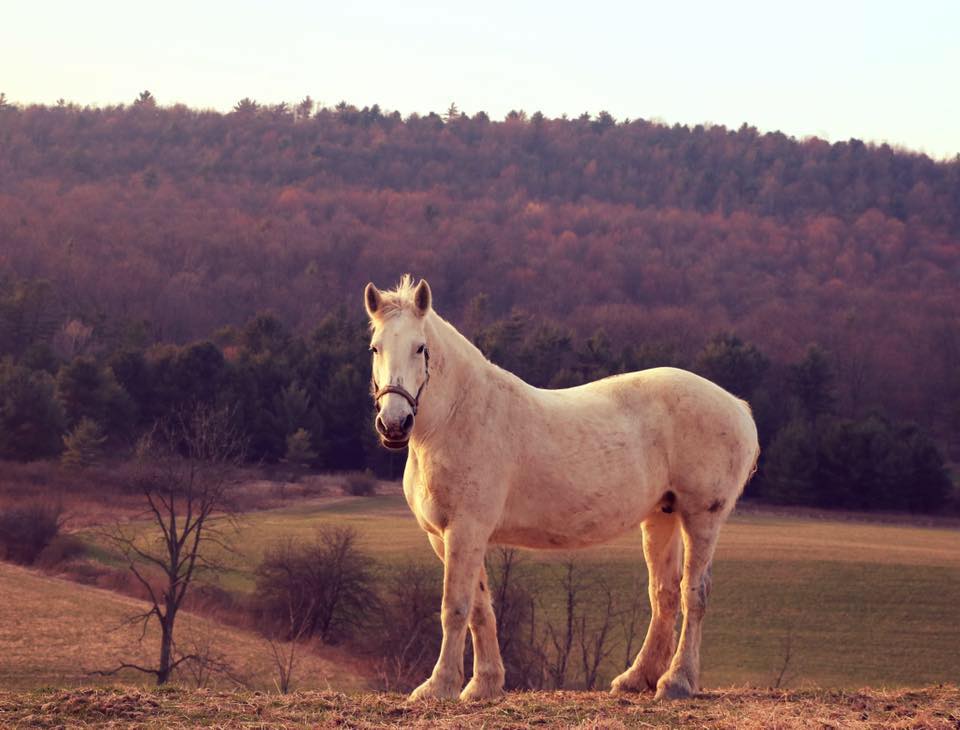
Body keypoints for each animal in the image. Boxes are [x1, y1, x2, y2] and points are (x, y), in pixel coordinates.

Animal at [364, 274, 760, 700]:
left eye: (420, 348)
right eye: (375, 347)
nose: (394, 424)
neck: (459, 417)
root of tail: (737, 407)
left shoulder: (466, 529)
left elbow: (454, 607)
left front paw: (438, 686)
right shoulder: (445, 536)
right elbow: (480, 608)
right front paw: (484, 684)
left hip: (701, 517)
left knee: (693, 594)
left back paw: (677, 681)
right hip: (661, 516)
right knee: (664, 595)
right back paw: (636, 679)